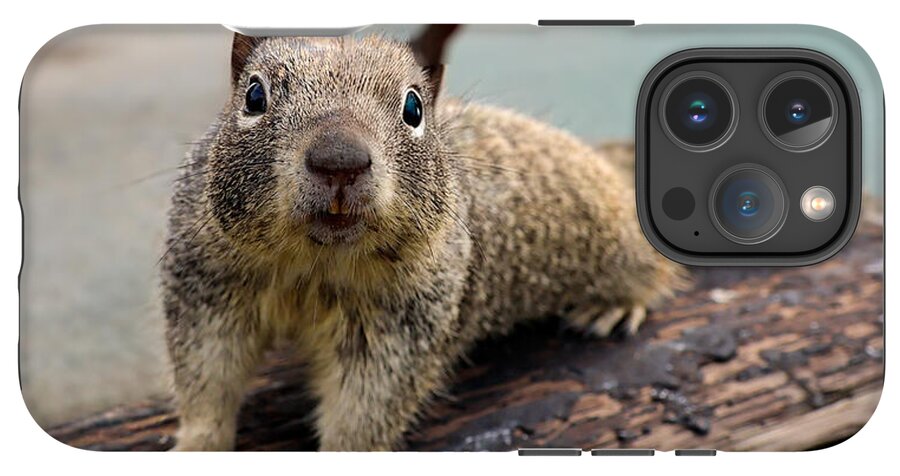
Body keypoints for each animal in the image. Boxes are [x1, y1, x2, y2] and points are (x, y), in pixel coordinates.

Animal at [162, 26, 685, 451]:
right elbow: (206, 382)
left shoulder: (402, 324)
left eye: (413, 107)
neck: (316, 264)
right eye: (254, 96)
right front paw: (196, 446)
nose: (339, 160)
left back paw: (613, 306)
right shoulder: (208, 288)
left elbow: (364, 410)